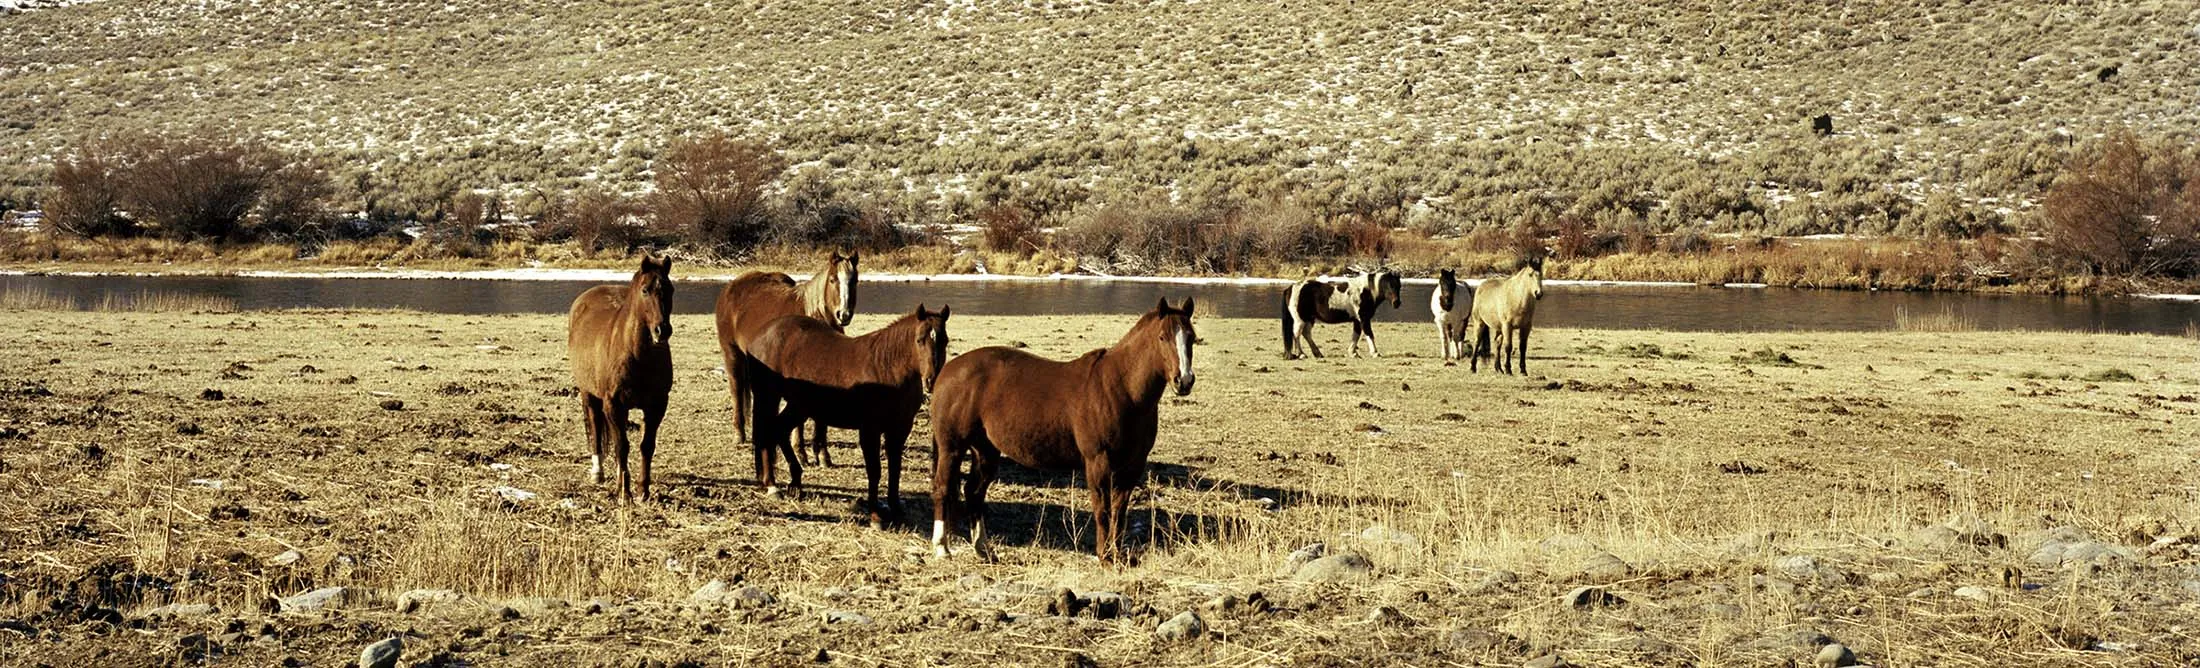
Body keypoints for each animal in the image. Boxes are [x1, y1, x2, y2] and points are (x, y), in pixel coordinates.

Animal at [566, 255, 675, 503]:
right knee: (596, 429)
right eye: (645, 290)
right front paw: (624, 494)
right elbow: (621, 446)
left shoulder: (657, 405)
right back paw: (598, 472)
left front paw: (642, 490)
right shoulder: (613, 404)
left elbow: (646, 445)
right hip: (589, 395)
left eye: (671, 289)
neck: (638, 355)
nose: (662, 331)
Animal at [714, 251, 858, 475]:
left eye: (854, 281)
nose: (843, 315)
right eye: (833, 279)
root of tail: (731, 287)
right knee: (736, 390)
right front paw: (802, 453)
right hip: (732, 354)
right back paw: (740, 435)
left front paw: (822, 455)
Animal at [744, 305, 950, 524]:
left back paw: (796, 481)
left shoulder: (899, 429)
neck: (887, 367)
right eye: (919, 340)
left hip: (799, 406)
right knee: (766, 434)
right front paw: (875, 515)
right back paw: (772, 485)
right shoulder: (870, 430)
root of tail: (761, 334)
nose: (932, 380)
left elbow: (895, 469)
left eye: (945, 340)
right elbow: (874, 470)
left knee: (779, 430)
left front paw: (896, 509)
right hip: (768, 397)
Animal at [928, 297, 1196, 564]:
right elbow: (1102, 511)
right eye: (1162, 337)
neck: (1121, 389)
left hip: (985, 450)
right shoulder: (1098, 461)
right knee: (942, 488)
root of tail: (948, 371)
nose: (1183, 381)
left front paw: (1117, 556)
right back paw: (942, 548)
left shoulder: (1132, 465)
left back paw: (983, 549)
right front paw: (1104, 557)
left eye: (1191, 338)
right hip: (952, 448)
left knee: (974, 493)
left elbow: (1119, 513)